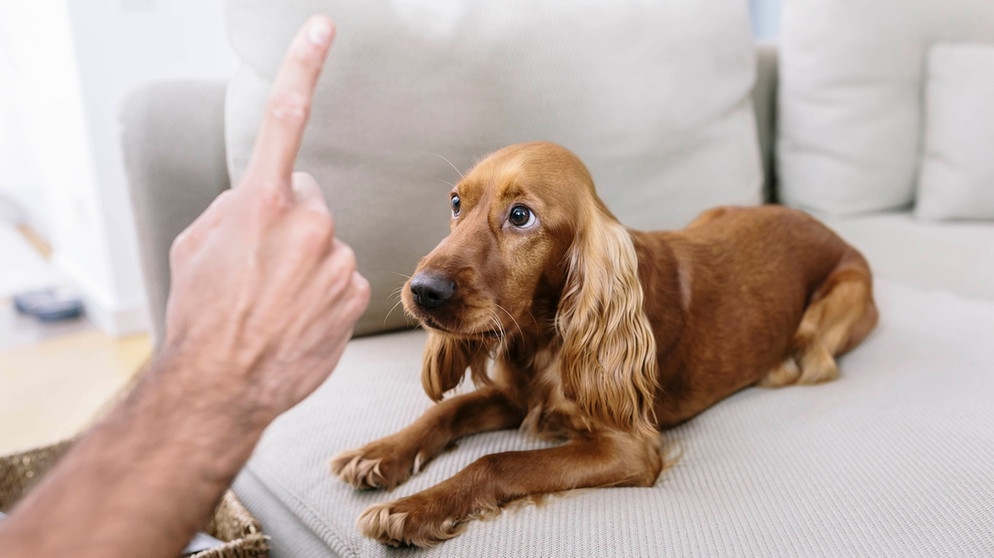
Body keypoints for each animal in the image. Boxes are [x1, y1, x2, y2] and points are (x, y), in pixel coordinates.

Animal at [328, 142, 876, 548]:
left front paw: (413, 508)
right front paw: (379, 454)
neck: (545, 336)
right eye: (456, 203)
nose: (423, 291)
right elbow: (446, 411)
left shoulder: (629, 449)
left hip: (829, 312)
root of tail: (825, 225)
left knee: (814, 357)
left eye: (521, 216)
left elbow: (497, 460)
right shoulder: (519, 396)